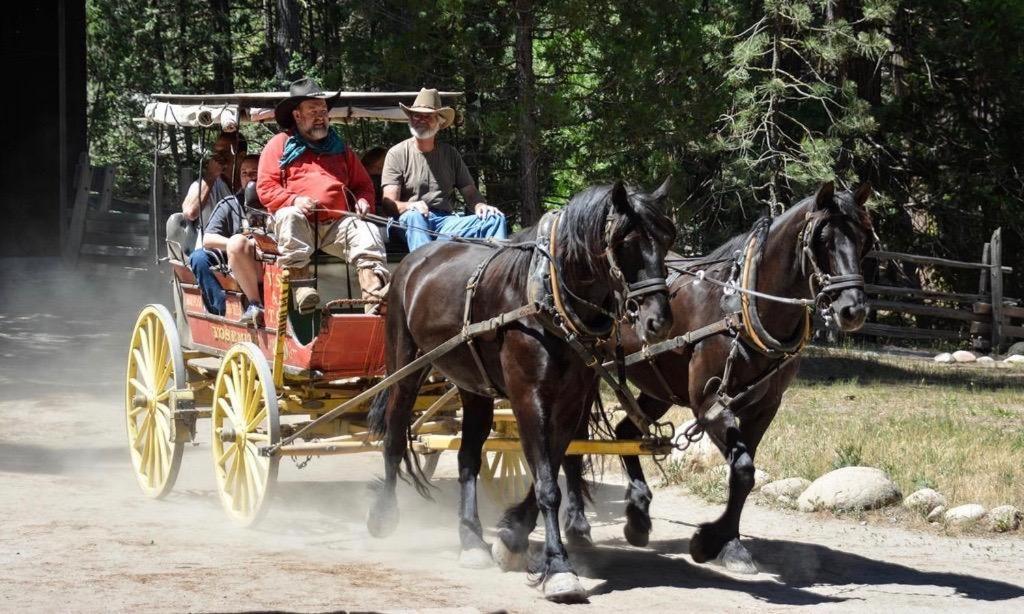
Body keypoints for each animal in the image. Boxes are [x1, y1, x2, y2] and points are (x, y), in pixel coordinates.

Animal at [368, 180, 679, 601]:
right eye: (626, 242)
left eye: (667, 239)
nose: (658, 321)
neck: (547, 297)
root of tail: (416, 258)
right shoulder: (528, 397)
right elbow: (548, 484)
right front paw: (560, 569)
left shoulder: (570, 401)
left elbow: (551, 468)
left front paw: (512, 538)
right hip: (405, 365)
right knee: (395, 439)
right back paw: (384, 516)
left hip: (475, 387)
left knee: (468, 458)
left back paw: (471, 539)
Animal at [540, 180, 868, 573]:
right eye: (823, 240)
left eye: (864, 238)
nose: (852, 310)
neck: (741, 309)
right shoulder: (708, 402)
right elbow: (742, 469)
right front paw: (711, 541)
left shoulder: (764, 407)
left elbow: (743, 476)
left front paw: (729, 544)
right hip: (585, 375)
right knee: (574, 443)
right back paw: (578, 525)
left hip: (657, 389)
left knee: (625, 433)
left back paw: (638, 516)